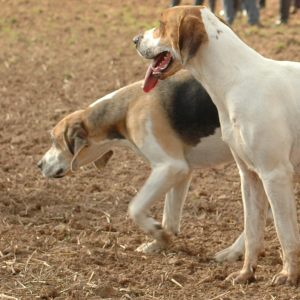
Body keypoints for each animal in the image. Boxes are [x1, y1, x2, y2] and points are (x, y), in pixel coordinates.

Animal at [134, 5, 300, 286]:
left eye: (161, 23)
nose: (135, 40)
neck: (235, 81)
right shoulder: (250, 176)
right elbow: (253, 231)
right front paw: (246, 273)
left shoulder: (275, 175)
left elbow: (284, 231)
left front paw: (288, 275)